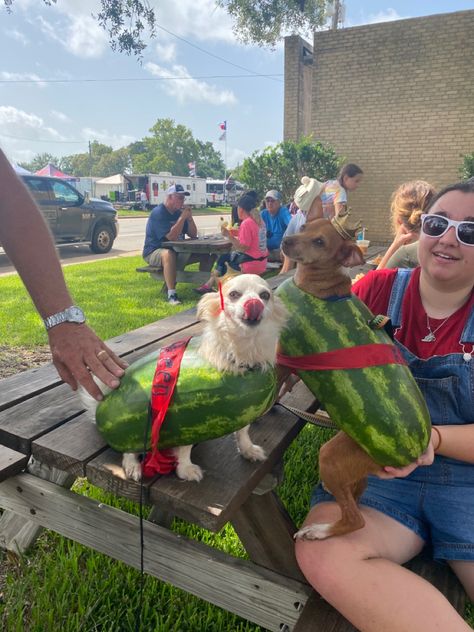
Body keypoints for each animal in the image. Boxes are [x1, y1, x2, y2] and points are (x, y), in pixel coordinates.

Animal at [79, 272, 286, 484]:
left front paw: (248, 449)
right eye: (234, 294)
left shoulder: (245, 409)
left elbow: (243, 431)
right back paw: (133, 466)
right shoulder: (188, 419)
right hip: (130, 432)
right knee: (128, 450)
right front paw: (185, 469)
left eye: (265, 295)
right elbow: (185, 448)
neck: (242, 354)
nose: (254, 303)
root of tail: (103, 400)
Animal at [280, 216, 390, 540]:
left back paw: (317, 531)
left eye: (320, 242)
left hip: (330, 456)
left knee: (356, 519)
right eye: (305, 226)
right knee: (356, 497)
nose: (287, 241)